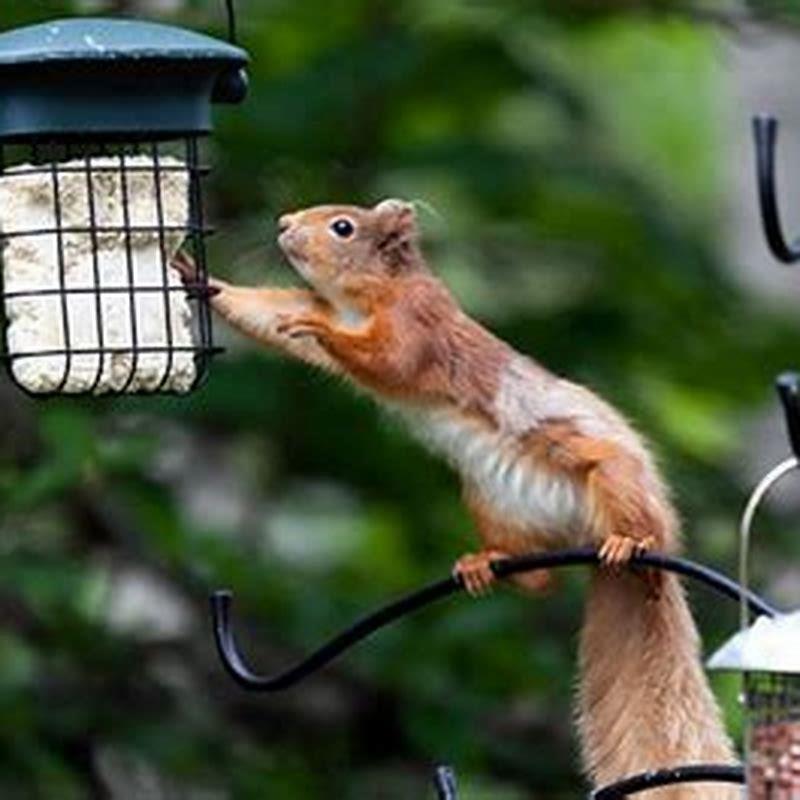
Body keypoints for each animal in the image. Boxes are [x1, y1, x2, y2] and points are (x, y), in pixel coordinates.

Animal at [173, 199, 736, 798]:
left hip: (613, 478)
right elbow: (266, 313)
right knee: (541, 580)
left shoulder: (420, 323)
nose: (283, 223)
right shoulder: (318, 301)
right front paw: (198, 276)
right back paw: (485, 565)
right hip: (490, 501)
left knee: (640, 550)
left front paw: (317, 328)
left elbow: (388, 359)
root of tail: (592, 539)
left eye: (342, 226)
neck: (362, 297)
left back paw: (632, 549)